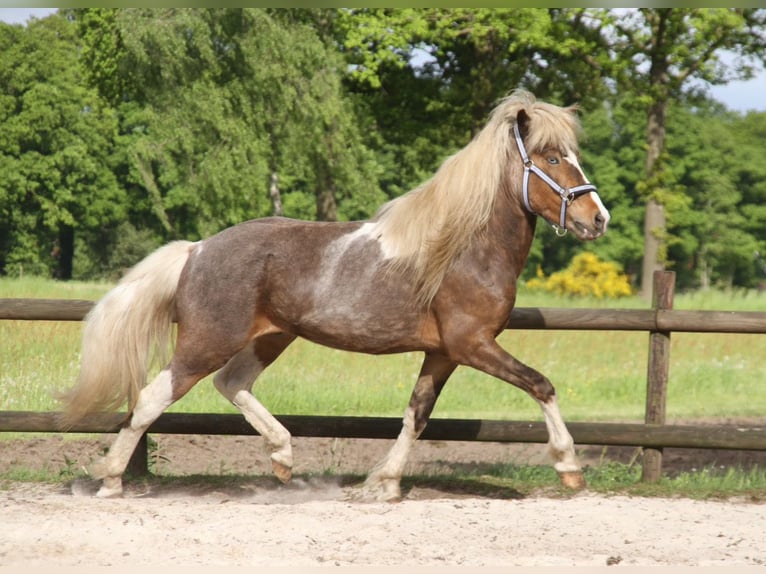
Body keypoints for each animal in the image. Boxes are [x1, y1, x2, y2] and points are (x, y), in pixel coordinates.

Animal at [58, 89, 610, 500]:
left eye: (575, 157)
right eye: (553, 157)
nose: (597, 218)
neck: (460, 249)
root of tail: (198, 249)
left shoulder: (443, 352)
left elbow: (417, 414)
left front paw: (384, 483)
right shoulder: (472, 343)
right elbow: (541, 384)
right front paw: (570, 467)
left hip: (271, 337)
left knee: (232, 383)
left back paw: (283, 458)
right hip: (208, 339)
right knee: (155, 395)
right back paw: (110, 479)